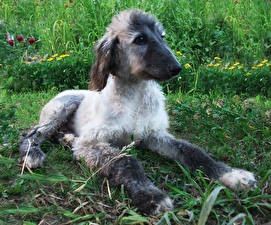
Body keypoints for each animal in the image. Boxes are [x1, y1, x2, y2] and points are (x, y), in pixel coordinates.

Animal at [18, 9, 258, 215]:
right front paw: (151, 196)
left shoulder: (153, 135)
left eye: (162, 36)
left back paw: (67, 139)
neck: (135, 97)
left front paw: (232, 175)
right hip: (62, 106)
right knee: (32, 134)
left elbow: (194, 152)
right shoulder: (91, 142)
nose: (177, 68)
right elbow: (127, 162)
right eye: (140, 39)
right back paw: (33, 154)